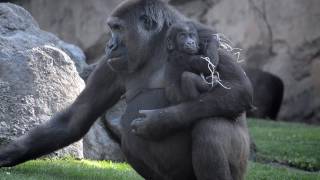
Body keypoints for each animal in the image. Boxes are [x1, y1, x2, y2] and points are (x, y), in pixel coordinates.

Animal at [0, 0, 252, 180]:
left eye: (118, 28)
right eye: (112, 29)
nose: (109, 45)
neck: (158, 44)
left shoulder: (204, 33)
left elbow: (239, 90)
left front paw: (159, 122)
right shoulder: (111, 64)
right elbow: (76, 117)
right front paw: (10, 152)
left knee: (210, 125)